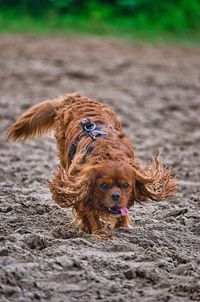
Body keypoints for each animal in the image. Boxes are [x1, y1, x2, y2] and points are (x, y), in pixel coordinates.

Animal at [6, 93, 176, 239]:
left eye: (126, 186)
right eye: (103, 185)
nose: (116, 196)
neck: (108, 154)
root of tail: (73, 98)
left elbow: (123, 211)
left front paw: (123, 226)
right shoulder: (80, 183)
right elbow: (89, 212)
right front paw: (99, 232)